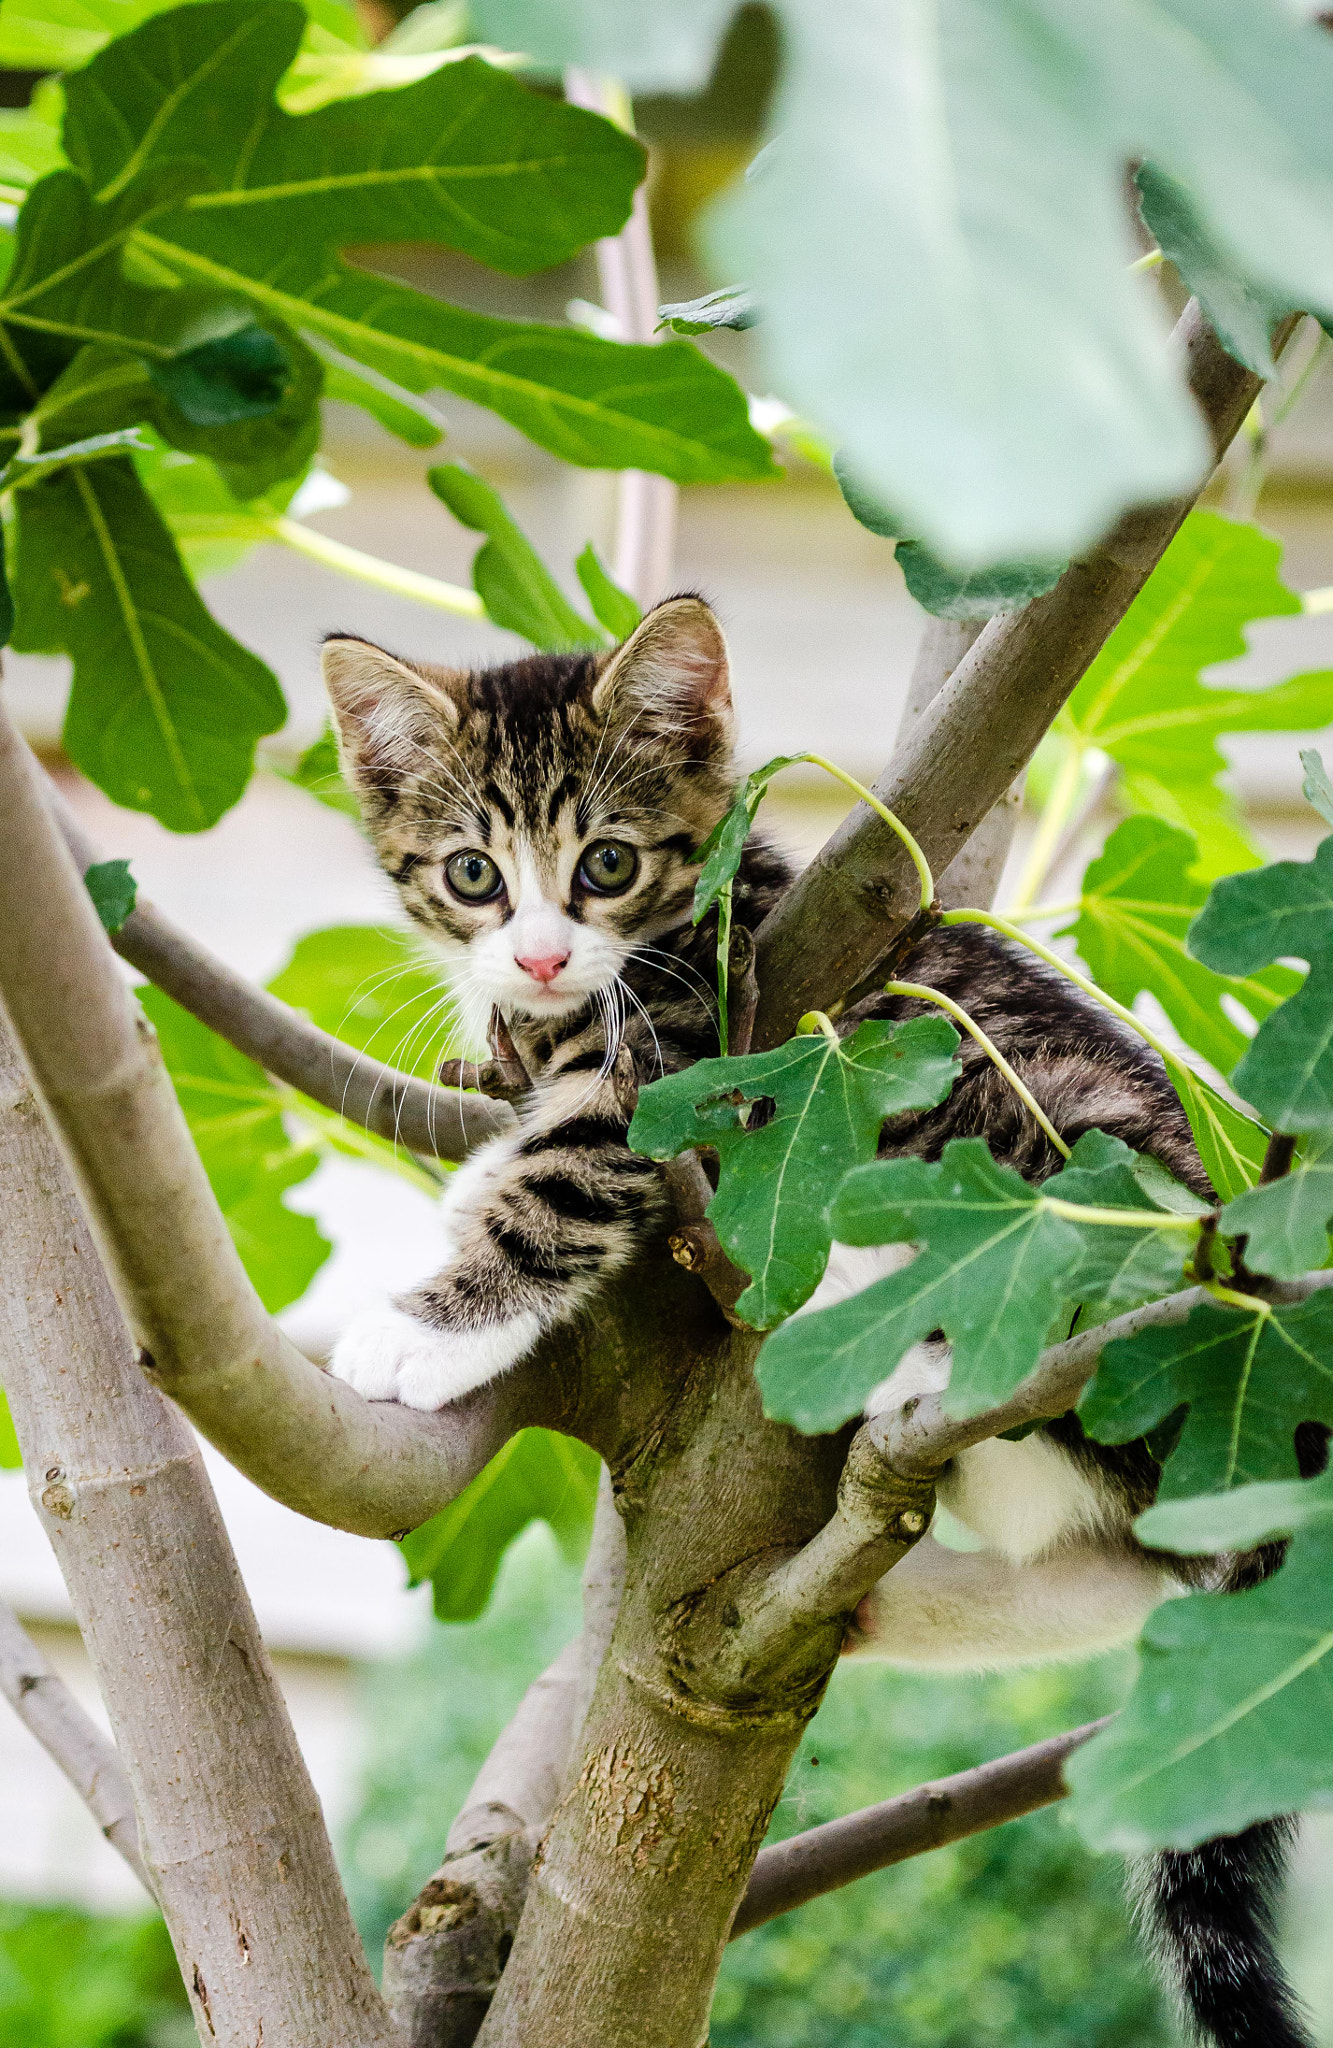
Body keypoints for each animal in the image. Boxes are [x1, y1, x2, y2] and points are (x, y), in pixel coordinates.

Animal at [321, 593, 1310, 2048]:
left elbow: (561, 1177)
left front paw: (432, 1325)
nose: (543, 953)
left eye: (605, 862)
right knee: (1113, 1564)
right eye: (471, 876)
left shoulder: (672, 1052)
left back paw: (909, 1333)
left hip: (1070, 1151)